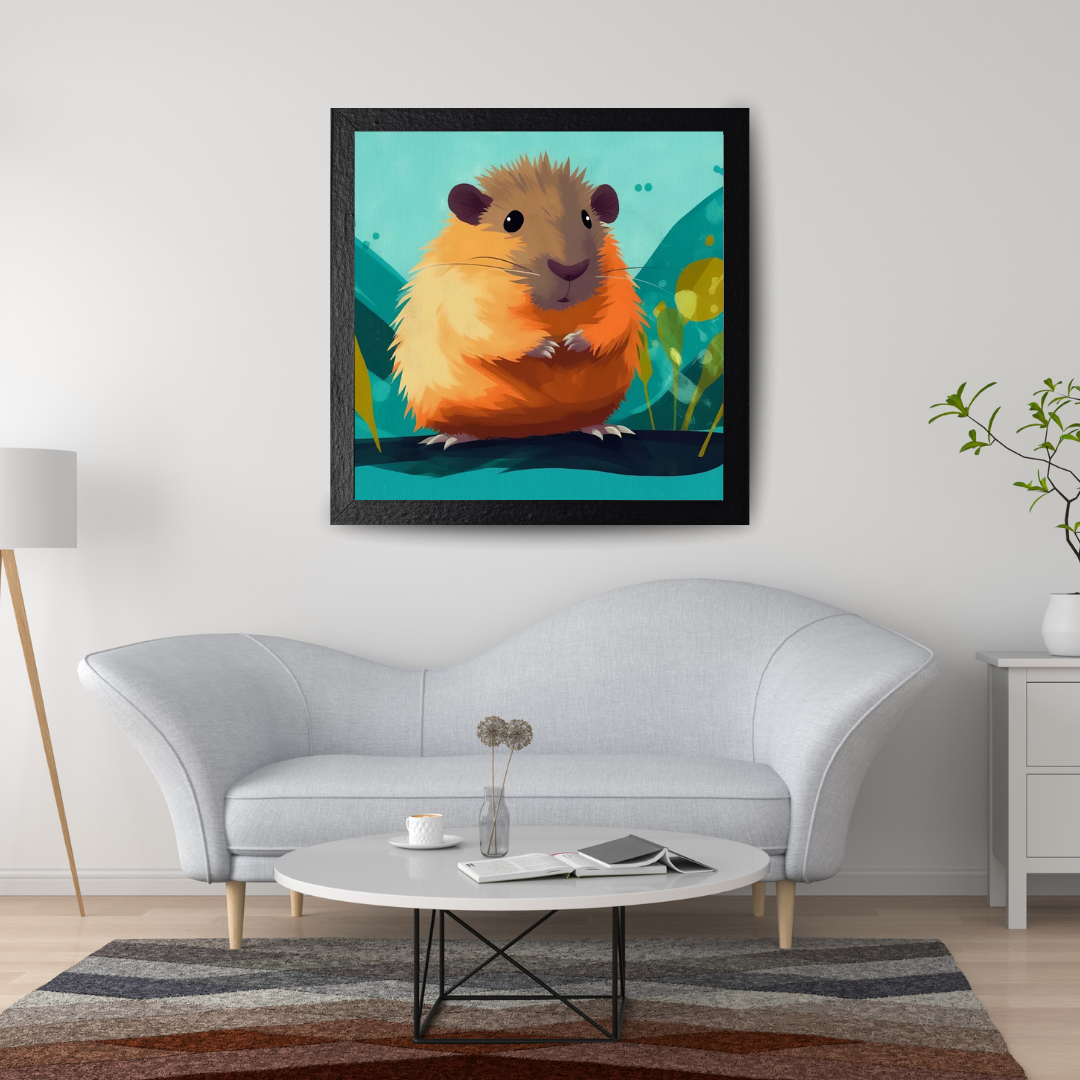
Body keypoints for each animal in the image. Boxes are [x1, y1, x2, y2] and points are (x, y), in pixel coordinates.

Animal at [391, 154, 644, 446]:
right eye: (511, 220)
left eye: (587, 219)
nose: (571, 270)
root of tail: (529, 430)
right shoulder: (462, 293)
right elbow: (487, 329)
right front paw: (546, 346)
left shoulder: (618, 283)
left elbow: (615, 320)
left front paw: (575, 341)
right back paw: (451, 437)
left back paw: (604, 428)